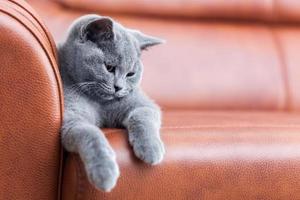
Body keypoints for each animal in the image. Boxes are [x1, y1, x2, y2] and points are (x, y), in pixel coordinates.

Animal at [58, 14, 166, 191]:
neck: (100, 102)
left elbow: (141, 116)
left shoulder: (144, 104)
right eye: (109, 67)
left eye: (130, 74)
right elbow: (91, 133)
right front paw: (104, 172)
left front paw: (150, 149)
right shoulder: (72, 118)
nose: (118, 87)